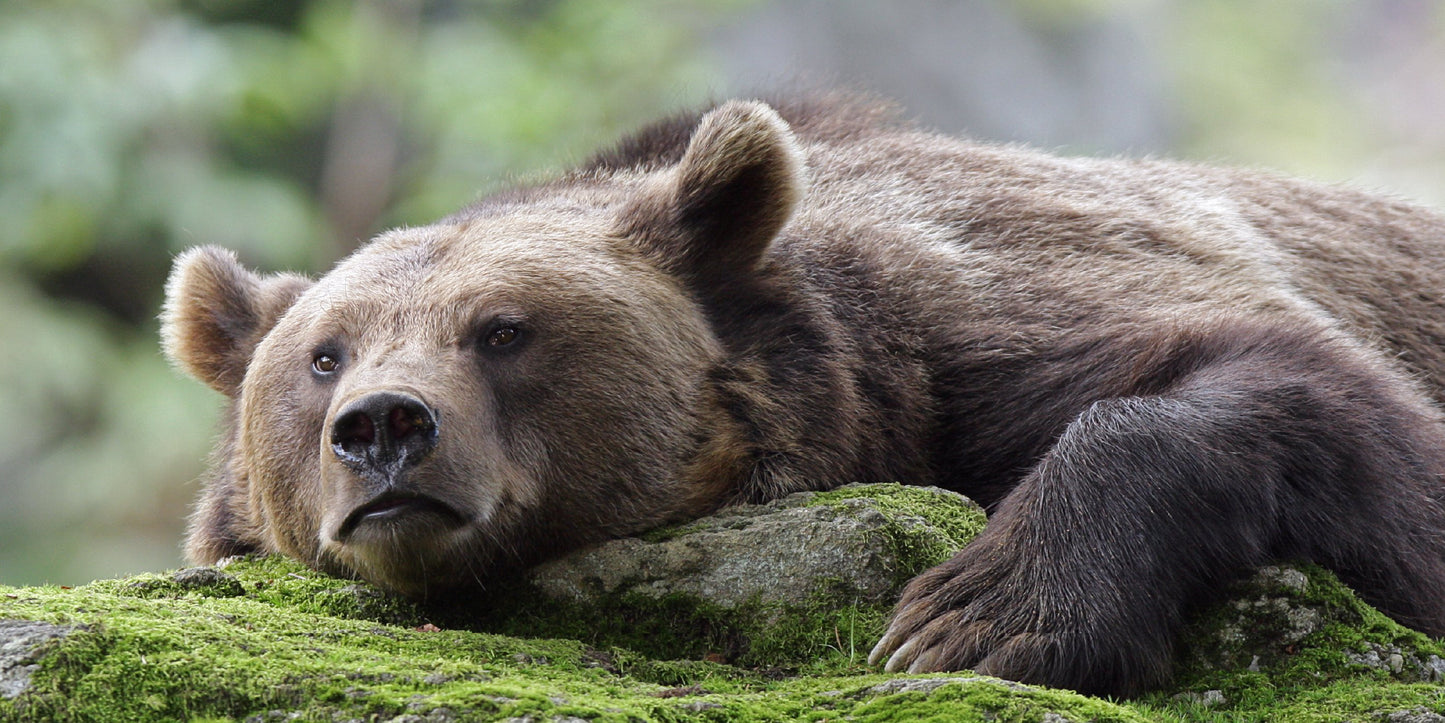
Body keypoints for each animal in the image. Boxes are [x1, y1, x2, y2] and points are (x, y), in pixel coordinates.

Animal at [161, 93, 1445, 696]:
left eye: (504, 330)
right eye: (325, 354)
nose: (384, 429)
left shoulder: (968, 324)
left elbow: (1320, 401)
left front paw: (975, 615)